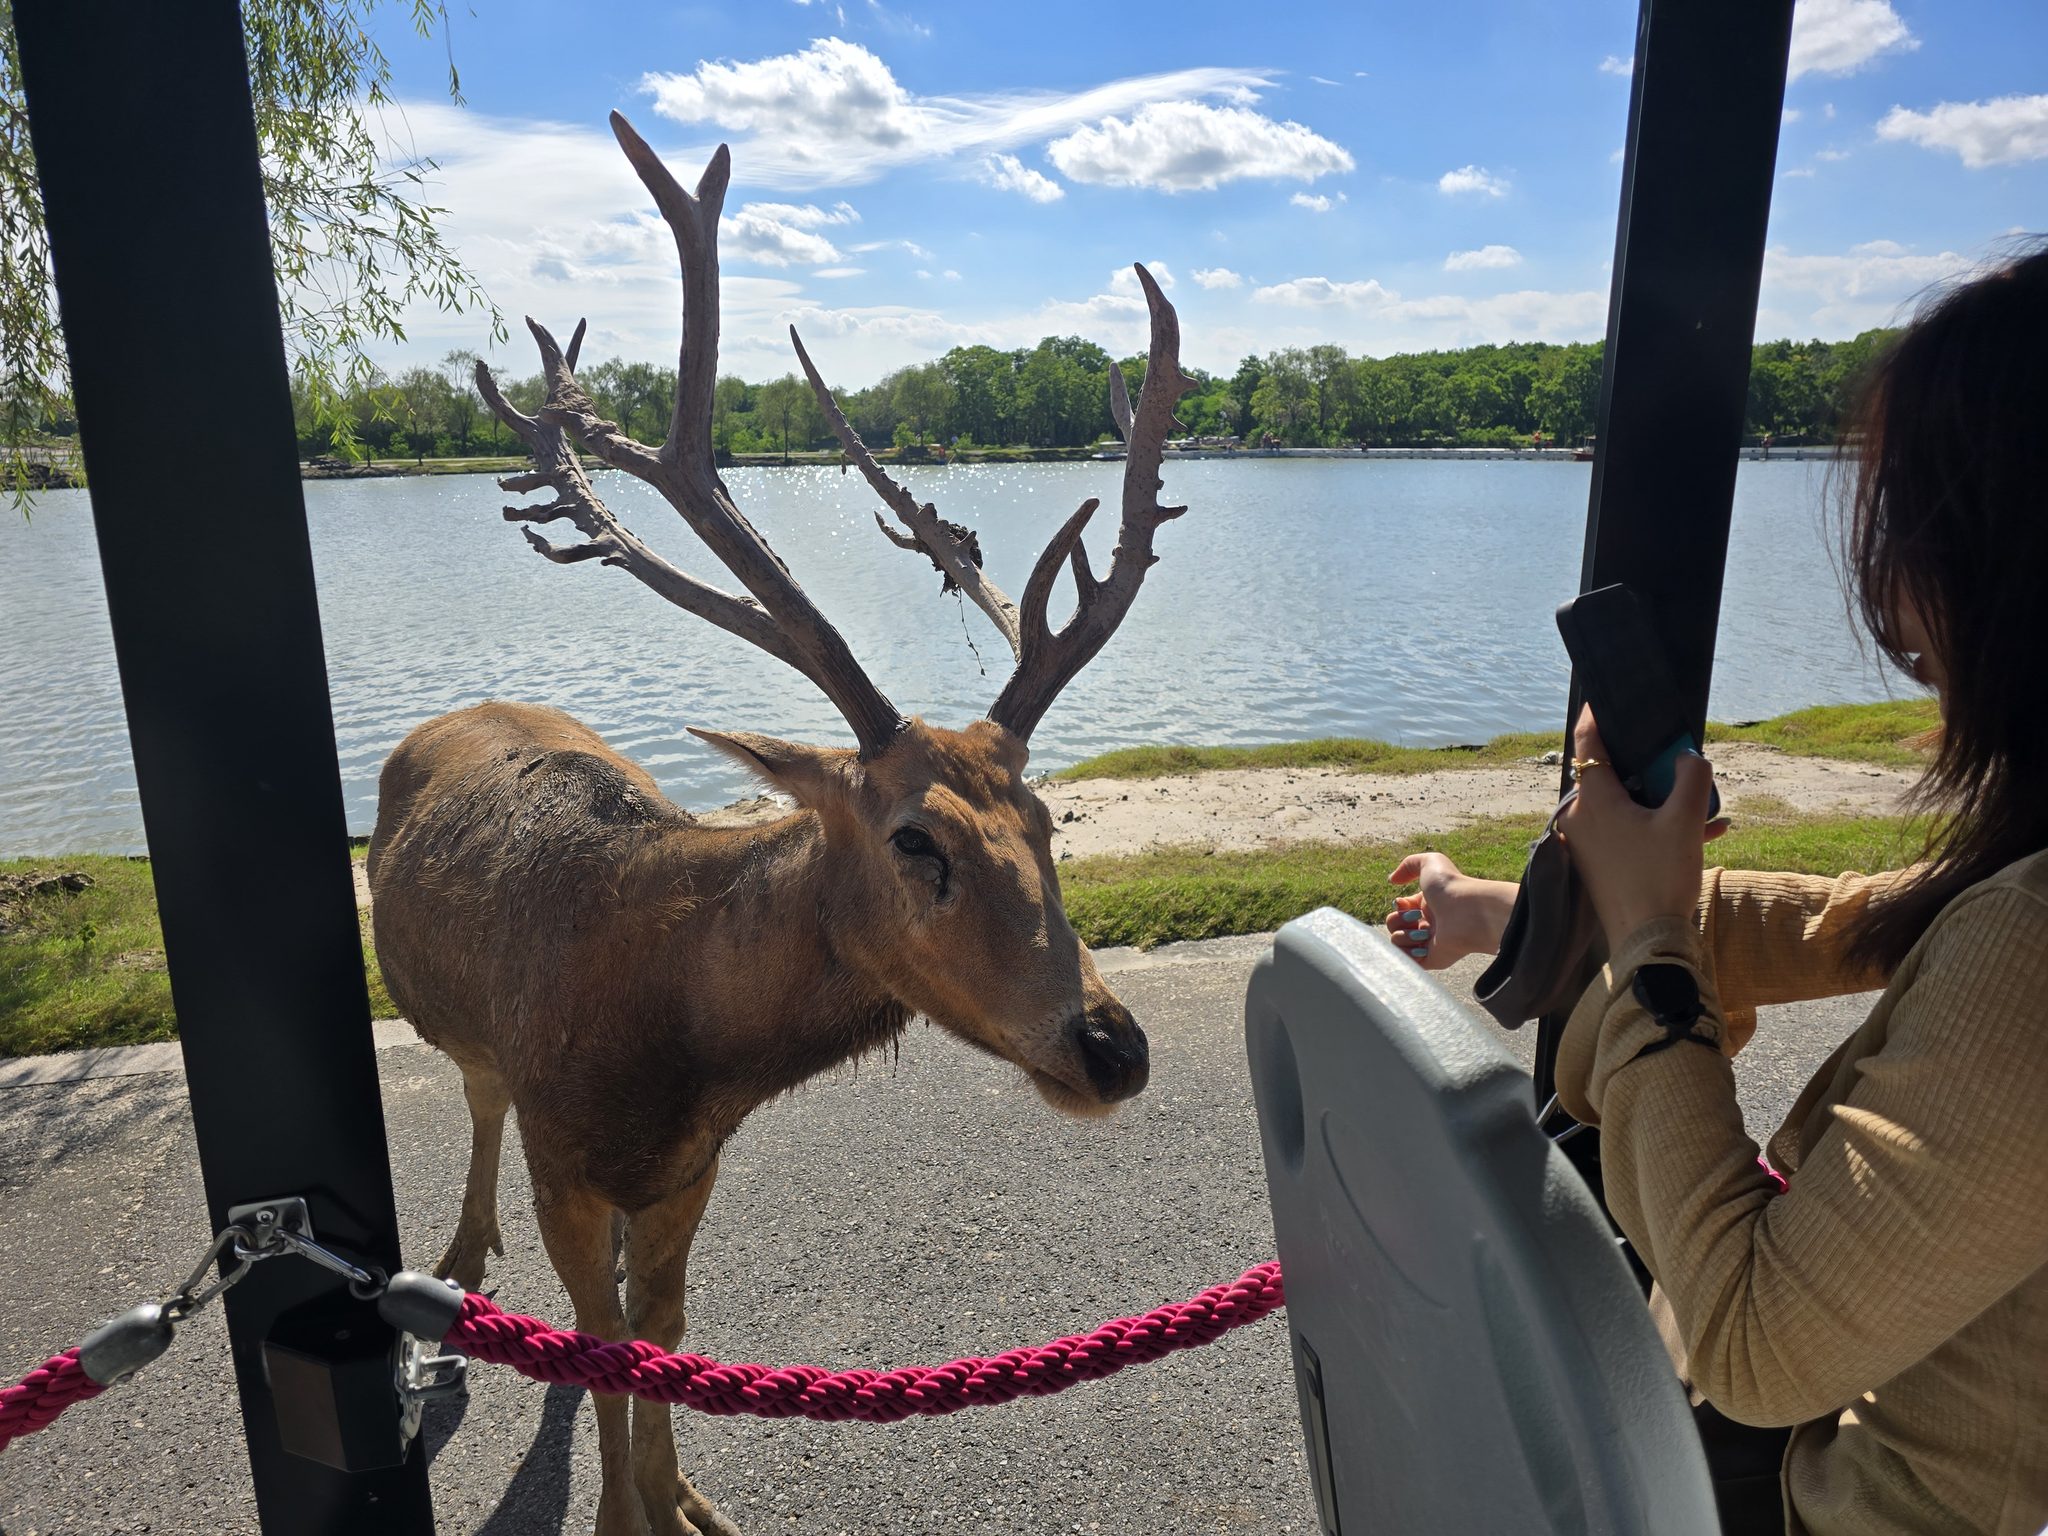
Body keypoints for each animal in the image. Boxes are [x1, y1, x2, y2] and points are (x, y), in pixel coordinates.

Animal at [366, 111, 1194, 1536]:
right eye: (916, 839)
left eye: (1047, 821)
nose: (1110, 1046)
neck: (671, 1047)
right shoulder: (562, 1152)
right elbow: (604, 1335)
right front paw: (625, 1512)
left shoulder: (689, 1168)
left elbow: (666, 1328)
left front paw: (682, 1498)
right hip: (473, 1055)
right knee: (474, 1095)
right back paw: (462, 1263)